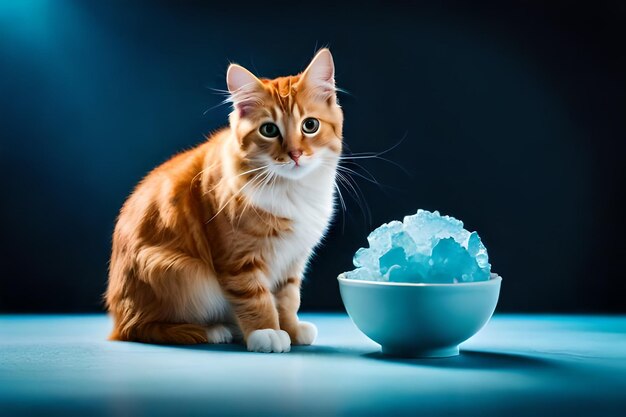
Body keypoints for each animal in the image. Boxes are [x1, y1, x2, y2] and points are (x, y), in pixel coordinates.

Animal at [105, 50, 344, 352]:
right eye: (269, 130)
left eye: (310, 125)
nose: (295, 154)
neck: (292, 189)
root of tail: (117, 321)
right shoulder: (239, 260)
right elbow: (257, 299)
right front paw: (267, 331)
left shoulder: (292, 261)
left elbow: (288, 299)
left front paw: (290, 328)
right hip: (180, 273)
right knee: (144, 328)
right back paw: (215, 330)